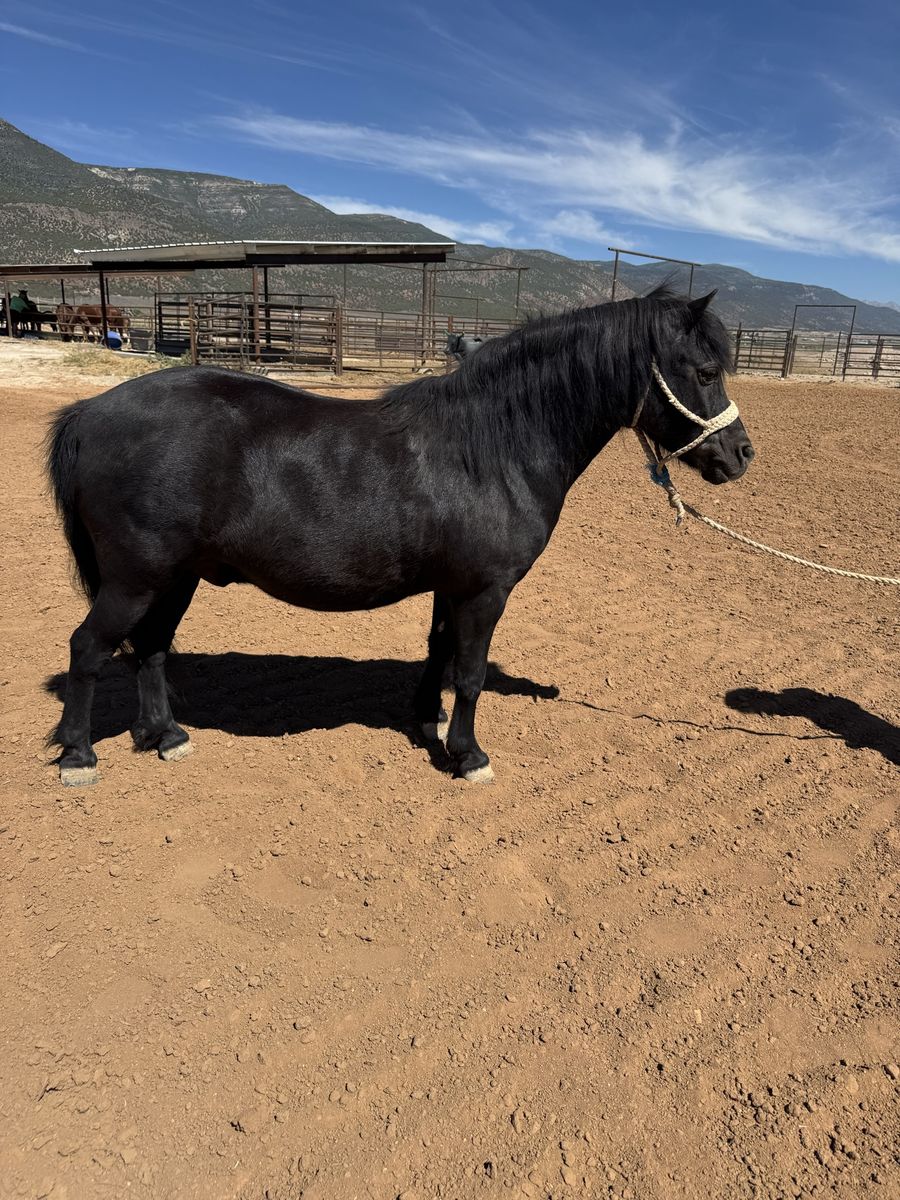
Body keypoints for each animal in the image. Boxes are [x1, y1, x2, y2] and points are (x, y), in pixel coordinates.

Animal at [45, 287, 753, 787]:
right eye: (704, 370)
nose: (741, 455)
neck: (493, 445)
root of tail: (89, 412)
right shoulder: (485, 591)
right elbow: (469, 673)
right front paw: (468, 756)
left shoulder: (452, 586)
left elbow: (438, 654)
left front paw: (425, 721)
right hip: (135, 579)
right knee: (89, 647)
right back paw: (79, 756)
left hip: (175, 578)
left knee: (151, 649)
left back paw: (165, 737)